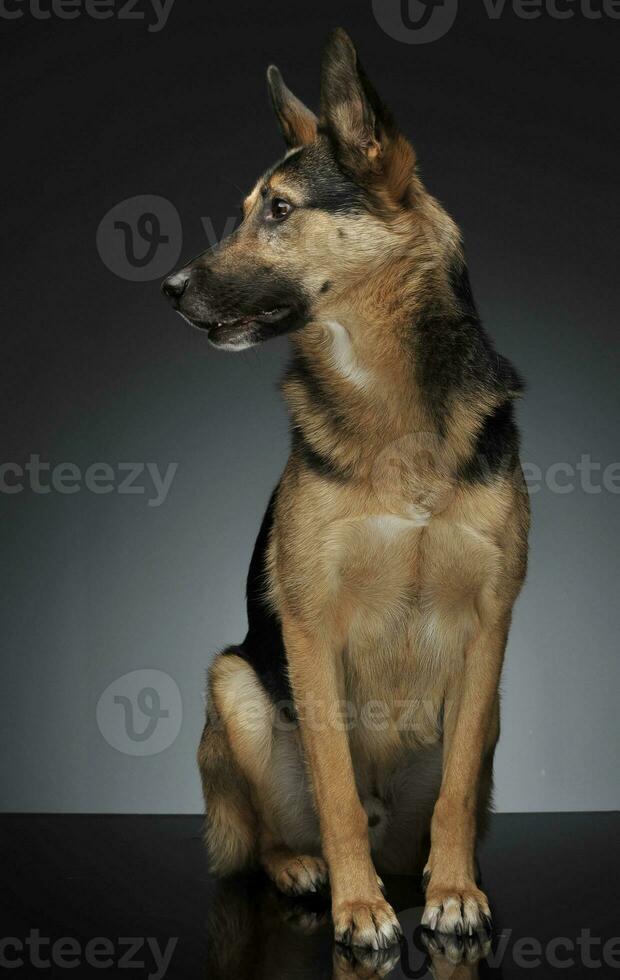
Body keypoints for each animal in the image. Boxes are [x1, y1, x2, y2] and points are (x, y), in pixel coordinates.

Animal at [161, 28, 528, 948]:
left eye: (279, 209)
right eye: (248, 209)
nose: (169, 290)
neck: (391, 402)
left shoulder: (490, 626)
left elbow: (458, 791)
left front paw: (455, 892)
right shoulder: (310, 625)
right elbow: (330, 789)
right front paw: (359, 907)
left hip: (489, 715)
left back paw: (423, 873)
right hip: (235, 687)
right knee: (268, 831)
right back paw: (306, 868)